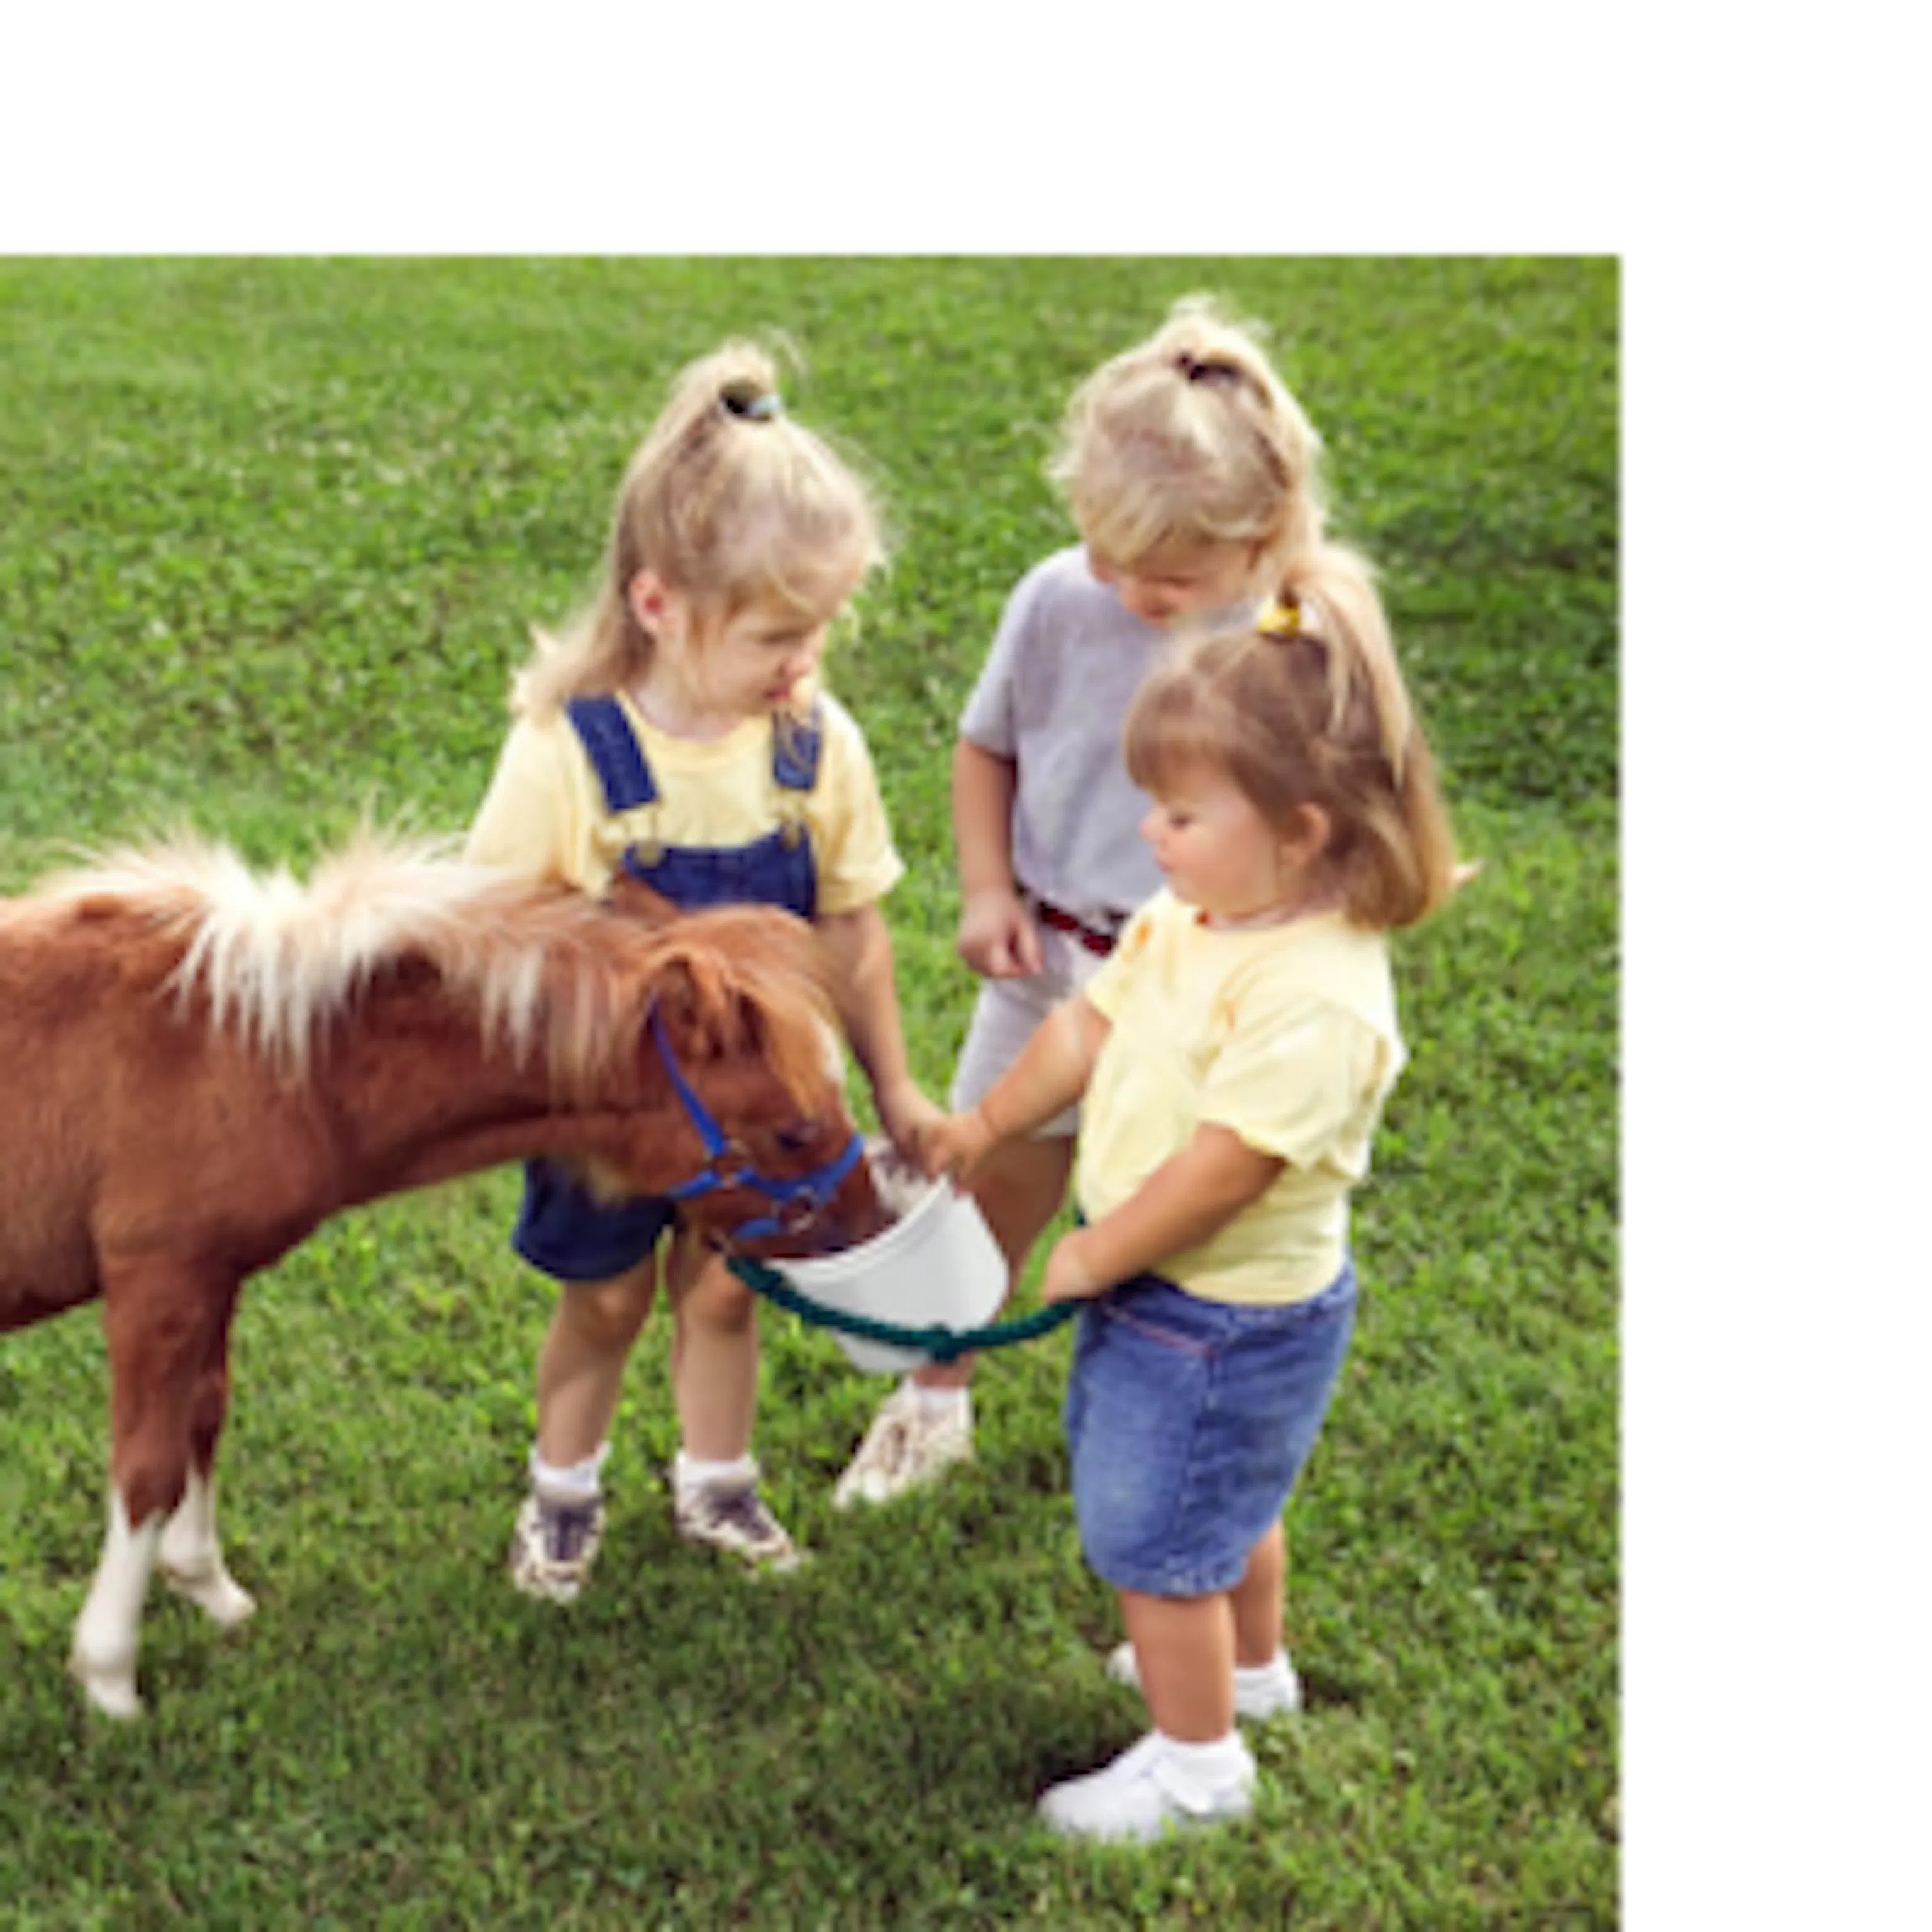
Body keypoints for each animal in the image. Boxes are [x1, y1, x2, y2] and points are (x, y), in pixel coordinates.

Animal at [0, 826, 885, 1718]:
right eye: (795, 1131)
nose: (871, 1228)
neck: (242, 1048)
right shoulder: (157, 1282)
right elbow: (147, 1469)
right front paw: (109, 1677)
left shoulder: (211, 1278)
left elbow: (202, 1420)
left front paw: (210, 1591)